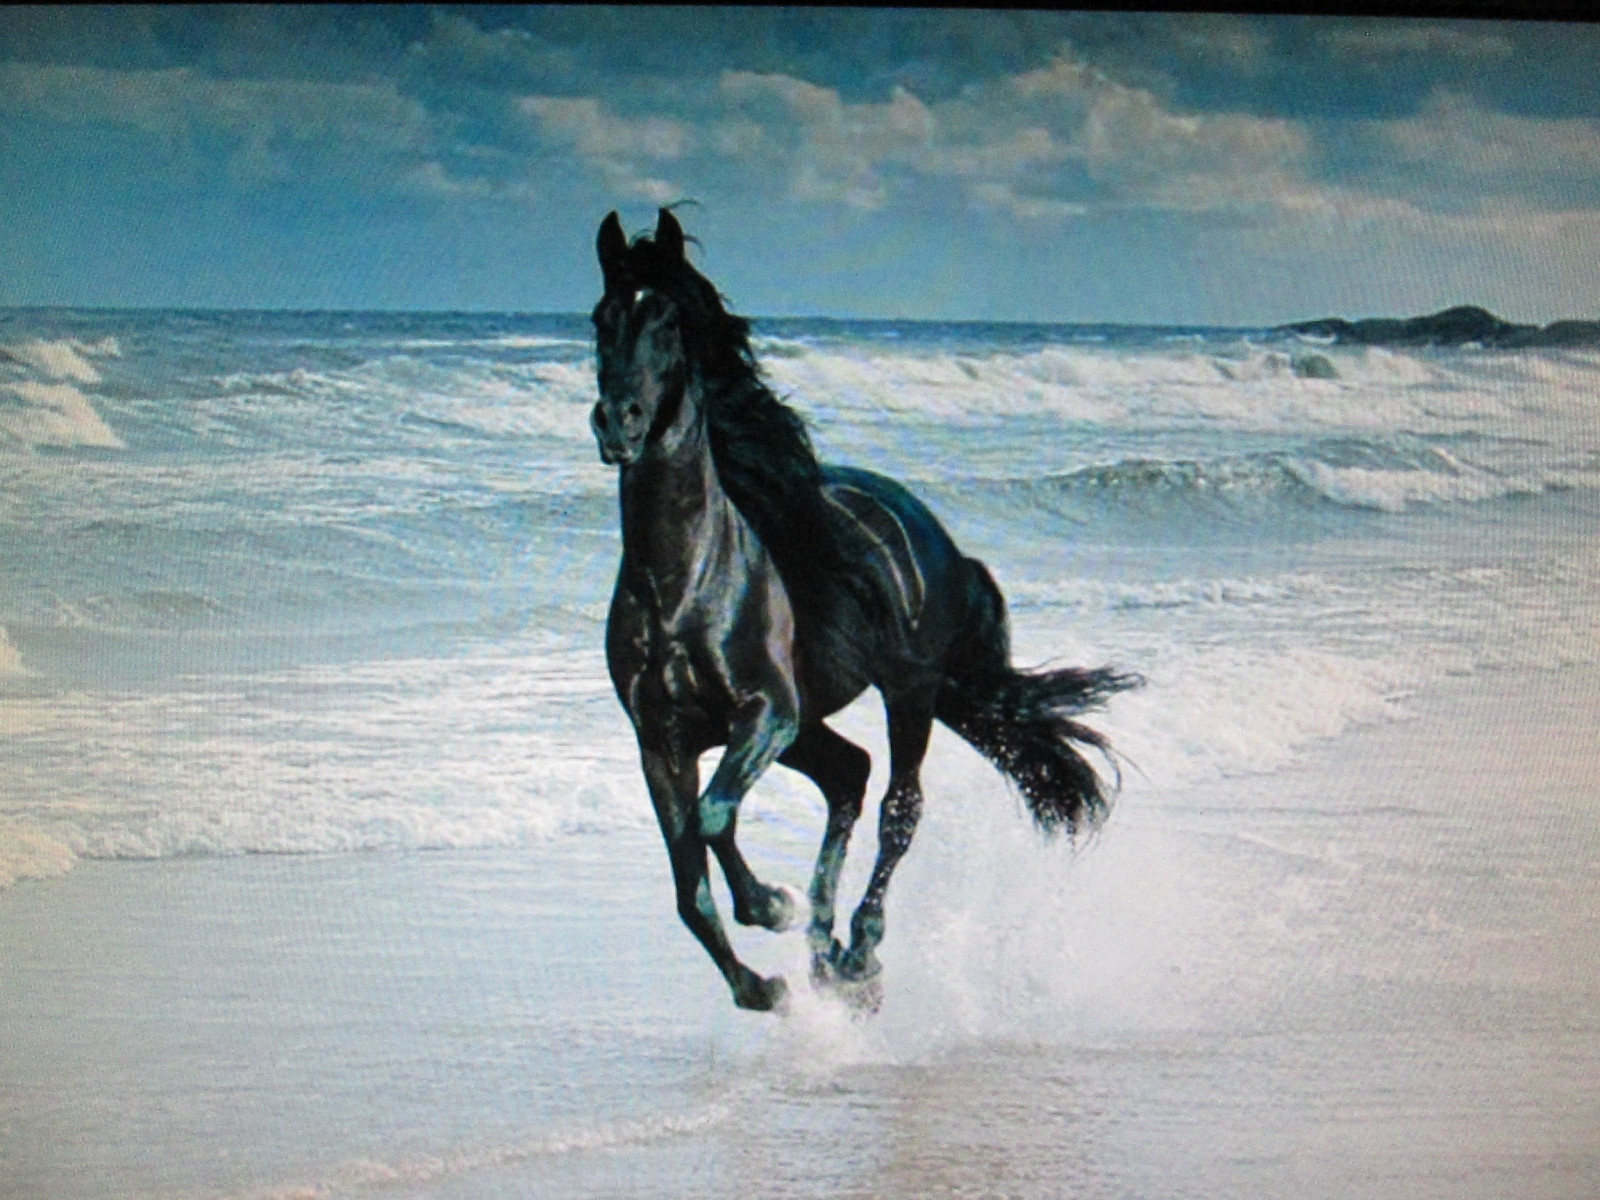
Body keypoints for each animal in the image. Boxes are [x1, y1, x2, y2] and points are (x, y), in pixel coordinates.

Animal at [589, 208, 1139, 1013]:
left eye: (667, 321)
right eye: (601, 319)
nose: (617, 423)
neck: (683, 587)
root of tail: (935, 537)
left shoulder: (767, 712)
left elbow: (716, 819)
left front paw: (772, 906)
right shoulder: (661, 740)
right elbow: (689, 886)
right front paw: (762, 986)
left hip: (904, 693)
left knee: (898, 808)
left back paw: (858, 953)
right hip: (814, 725)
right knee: (849, 775)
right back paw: (827, 958)